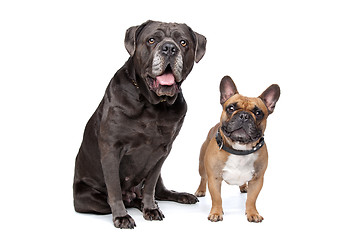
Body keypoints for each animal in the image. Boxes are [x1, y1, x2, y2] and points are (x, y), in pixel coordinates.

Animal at [195, 76, 280, 222]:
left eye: (258, 113)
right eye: (231, 108)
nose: (244, 116)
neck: (240, 149)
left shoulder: (257, 179)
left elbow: (251, 199)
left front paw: (253, 213)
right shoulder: (214, 178)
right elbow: (217, 198)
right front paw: (216, 213)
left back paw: (243, 187)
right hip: (202, 166)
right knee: (203, 178)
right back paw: (200, 190)